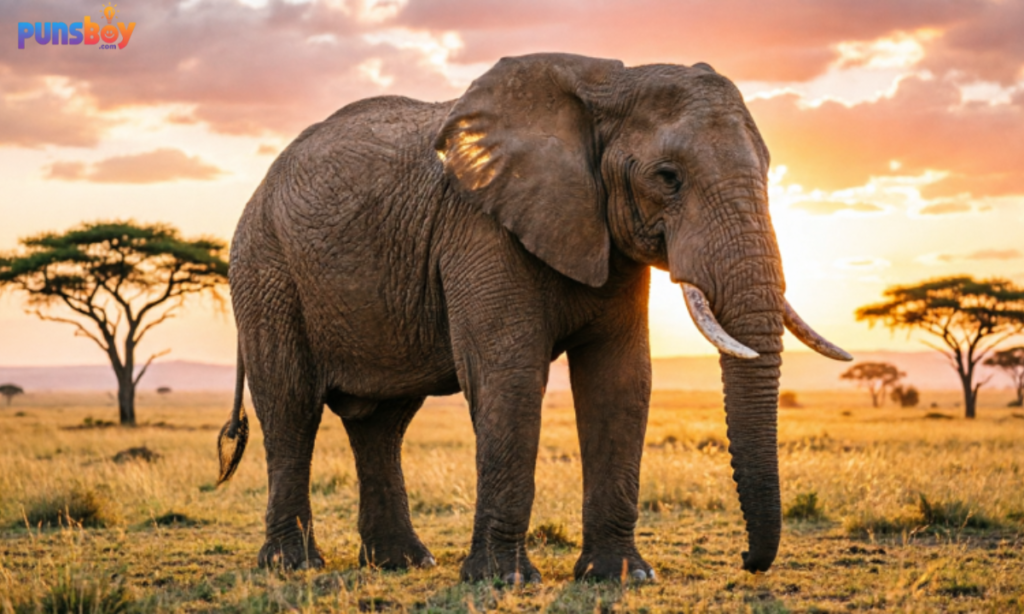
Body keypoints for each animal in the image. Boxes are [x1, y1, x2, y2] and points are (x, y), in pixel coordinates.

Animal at [215, 52, 851, 583]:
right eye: (667, 177)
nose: (748, 561)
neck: (608, 83)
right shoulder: (480, 228)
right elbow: (509, 376)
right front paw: (504, 580)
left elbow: (622, 383)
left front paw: (622, 577)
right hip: (266, 269)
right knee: (291, 407)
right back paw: (293, 567)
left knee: (381, 422)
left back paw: (403, 564)